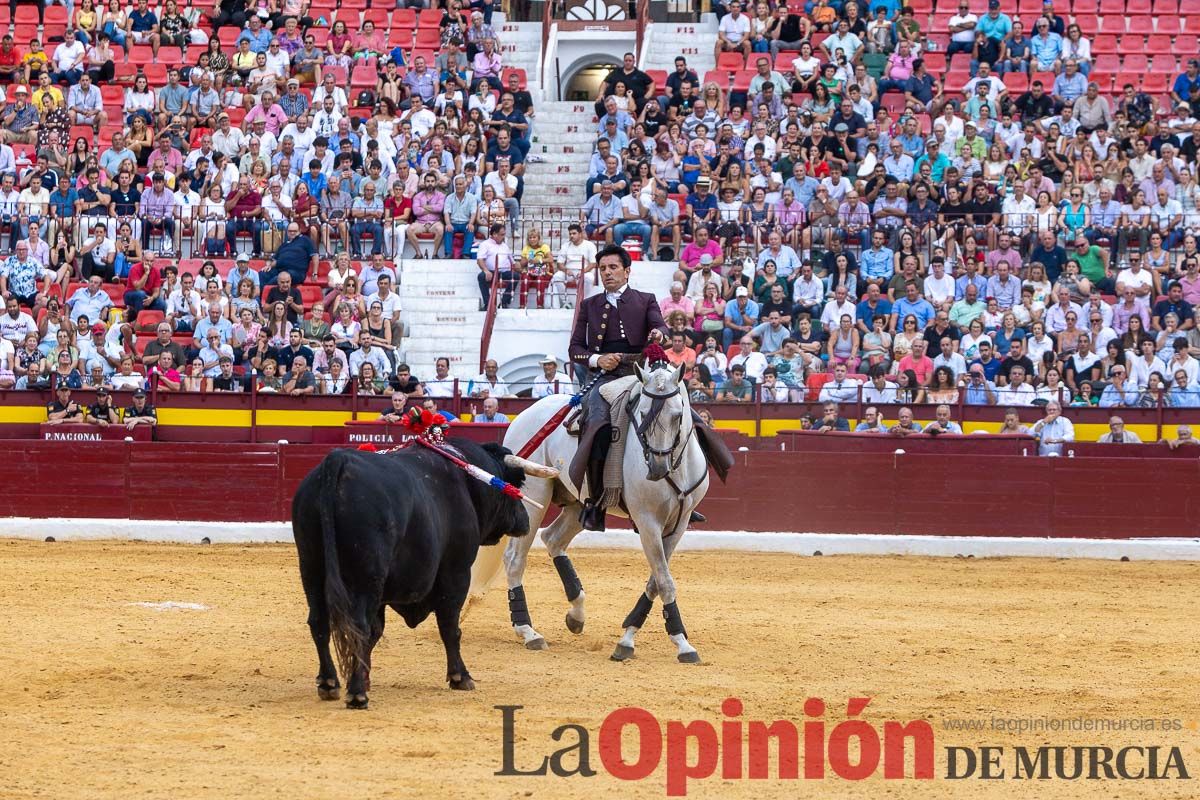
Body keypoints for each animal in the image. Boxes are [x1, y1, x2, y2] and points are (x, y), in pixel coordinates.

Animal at [290, 441, 530, 710]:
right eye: (515, 484)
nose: (525, 519)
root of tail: (338, 461)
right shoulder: (456, 572)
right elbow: (450, 627)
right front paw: (460, 677)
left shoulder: (382, 595)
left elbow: (377, 631)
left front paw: (364, 675)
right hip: (366, 576)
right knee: (358, 626)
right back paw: (357, 694)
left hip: (311, 566)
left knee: (319, 621)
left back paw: (329, 683)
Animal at [465, 362, 710, 662]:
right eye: (642, 414)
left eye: (677, 416)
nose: (656, 468)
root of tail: (526, 414)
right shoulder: (647, 522)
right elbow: (664, 580)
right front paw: (678, 643)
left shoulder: (679, 524)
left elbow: (656, 580)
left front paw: (633, 637)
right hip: (534, 496)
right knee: (514, 558)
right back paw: (528, 631)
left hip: (578, 504)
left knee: (553, 539)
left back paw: (576, 614)